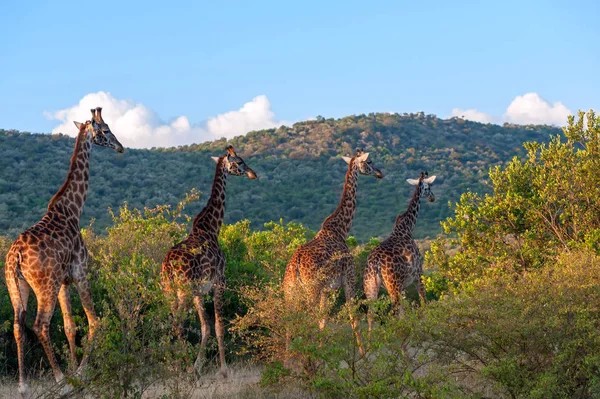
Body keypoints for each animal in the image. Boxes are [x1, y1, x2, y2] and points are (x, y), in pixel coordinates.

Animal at [4, 108, 124, 398]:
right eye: (105, 129)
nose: (121, 147)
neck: (73, 209)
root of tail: (15, 257)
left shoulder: (64, 283)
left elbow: (70, 327)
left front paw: (75, 369)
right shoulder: (81, 273)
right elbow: (95, 322)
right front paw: (79, 374)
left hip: (17, 285)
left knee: (18, 325)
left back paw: (24, 386)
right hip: (44, 285)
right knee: (40, 324)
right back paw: (60, 380)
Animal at [161, 145, 256, 378]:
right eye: (239, 162)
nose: (253, 174)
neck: (212, 227)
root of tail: (167, 265)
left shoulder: (199, 291)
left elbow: (206, 327)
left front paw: (199, 366)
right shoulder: (219, 282)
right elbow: (220, 326)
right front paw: (223, 370)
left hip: (168, 289)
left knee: (171, 322)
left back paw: (174, 365)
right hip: (183, 290)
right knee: (179, 323)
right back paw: (183, 366)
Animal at [282, 148, 384, 358]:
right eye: (369, 161)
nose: (380, 173)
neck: (340, 229)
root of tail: (295, 265)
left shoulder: (326, 290)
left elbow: (324, 321)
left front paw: (322, 352)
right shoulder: (348, 278)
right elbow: (353, 316)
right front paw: (363, 355)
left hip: (289, 291)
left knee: (290, 323)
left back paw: (289, 360)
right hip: (310, 289)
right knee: (308, 320)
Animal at [364, 171, 438, 332]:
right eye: (429, 187)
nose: (432, 198)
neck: (408, 228)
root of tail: (375, 264)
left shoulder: (403, 285)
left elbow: (404, 313)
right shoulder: (419, 274)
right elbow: (424, 301)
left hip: (370, 287)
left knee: (371, 315)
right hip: (393, 286)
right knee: (393, 311)